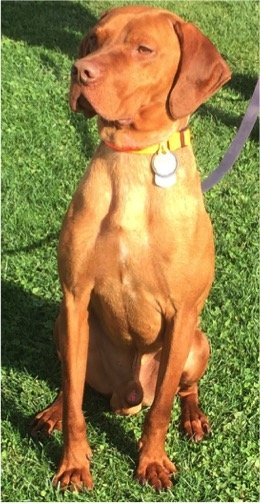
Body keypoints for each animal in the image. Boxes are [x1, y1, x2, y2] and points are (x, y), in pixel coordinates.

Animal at [31, 3, 231, 492]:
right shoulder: (75, 297)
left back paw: (193, 417)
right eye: (93, 40)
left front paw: (152, 461)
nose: (79, 71)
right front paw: (73, 463)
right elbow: (75, 405)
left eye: (144, 49)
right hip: (67, 328)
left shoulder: (182, 314)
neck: (134, 163)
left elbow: (160, 410)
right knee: (71, 385)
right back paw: (50, 412)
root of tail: (127, 395)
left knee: (181, 390)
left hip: (196, 344)